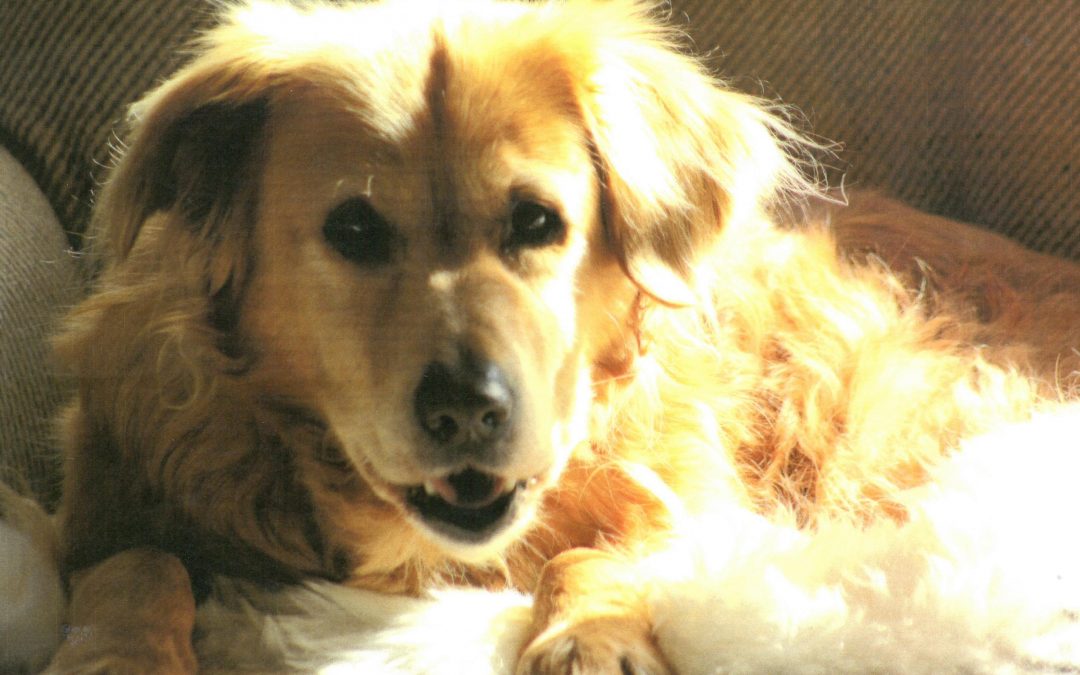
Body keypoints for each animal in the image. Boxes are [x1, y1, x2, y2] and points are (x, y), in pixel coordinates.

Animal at [46, 0, 1080, 669]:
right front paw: (118, 656)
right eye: (353, 229)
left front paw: (592, 632)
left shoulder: (683, 495)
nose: (468, 410)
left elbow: (598, 546)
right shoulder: (108, 494)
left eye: (537, 222)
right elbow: (135, 565)